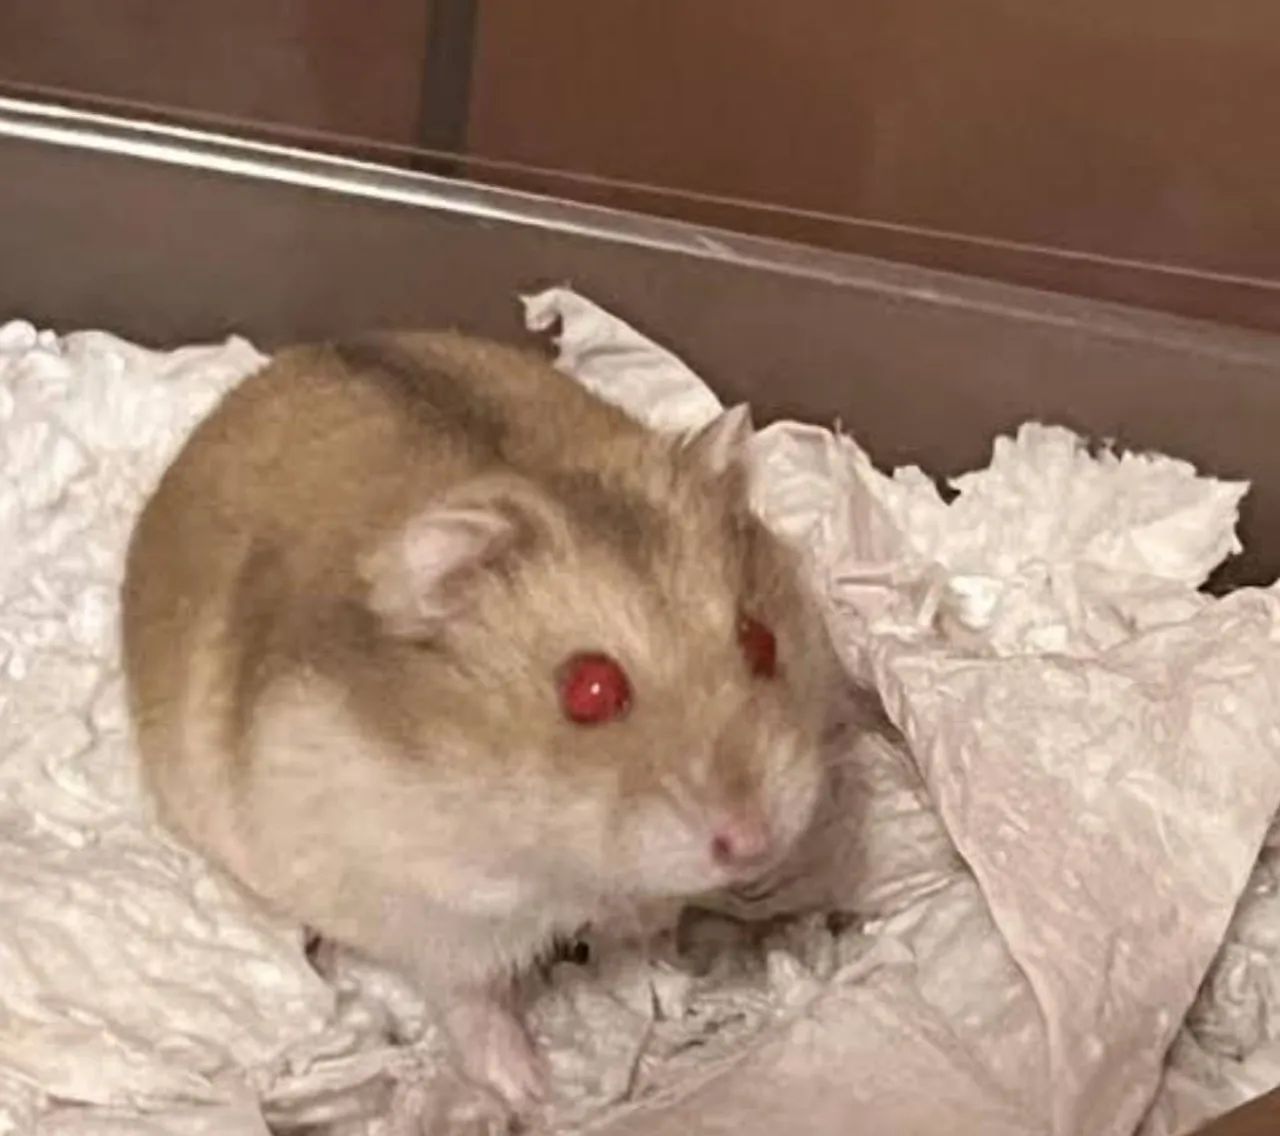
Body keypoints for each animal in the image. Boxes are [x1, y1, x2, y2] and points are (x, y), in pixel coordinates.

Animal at [121, 331, 840, 1115]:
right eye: (591, 689)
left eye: (761, 640)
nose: (753, 845)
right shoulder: (429, 911)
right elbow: (470, 998)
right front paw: (532, 1090)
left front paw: (665, 959)